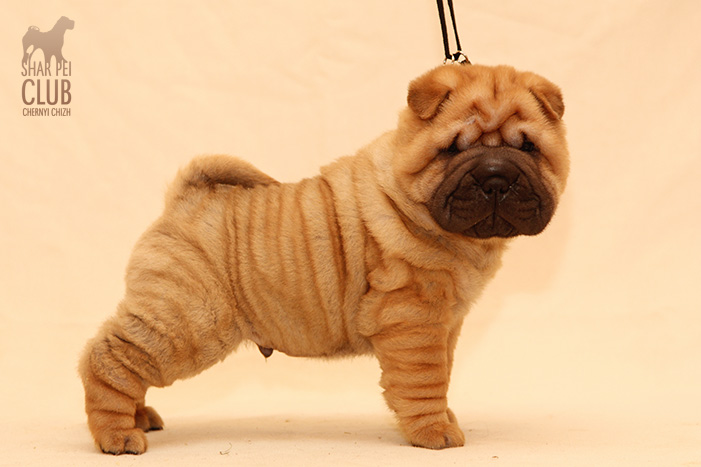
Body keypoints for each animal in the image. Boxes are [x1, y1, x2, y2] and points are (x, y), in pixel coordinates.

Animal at [79, 63, 569, 455]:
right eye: (453, 149)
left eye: (528, 149)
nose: (495, 176)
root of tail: (183, 200)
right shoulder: (414, 320)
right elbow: (424, 381)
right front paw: (435, 432)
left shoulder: (446, 323)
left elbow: (441, 375)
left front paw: (444, 420)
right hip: (188, 321)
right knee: (107, 359)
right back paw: (117, 436)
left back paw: (138, 417)